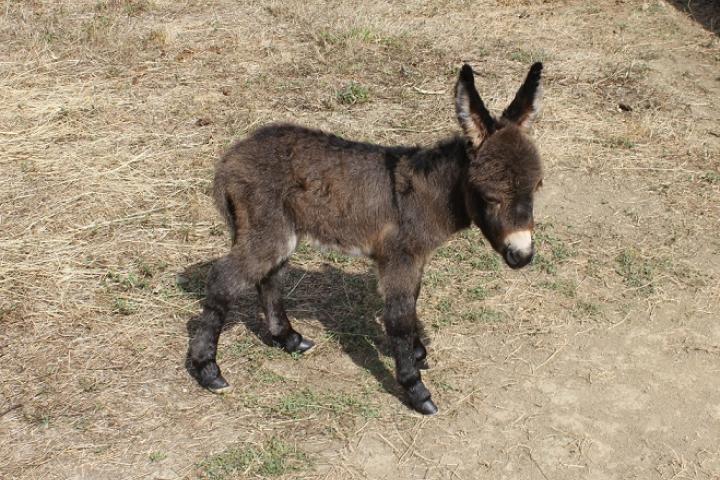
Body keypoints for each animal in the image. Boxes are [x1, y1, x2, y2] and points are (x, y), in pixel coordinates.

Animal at [188, 62, 544, 414]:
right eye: (490, 196)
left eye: (537, 187)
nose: (523, 255)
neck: (429, 196)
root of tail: (231, 158)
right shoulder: (399, 258)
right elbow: (399, 317)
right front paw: (415, 388)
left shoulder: (414, 259)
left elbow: (411, 302)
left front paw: (417, 351)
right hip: (267, 229)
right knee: (224, 279)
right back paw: (208, 371)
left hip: (281, 232)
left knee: (269, 277)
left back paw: (288, 338)